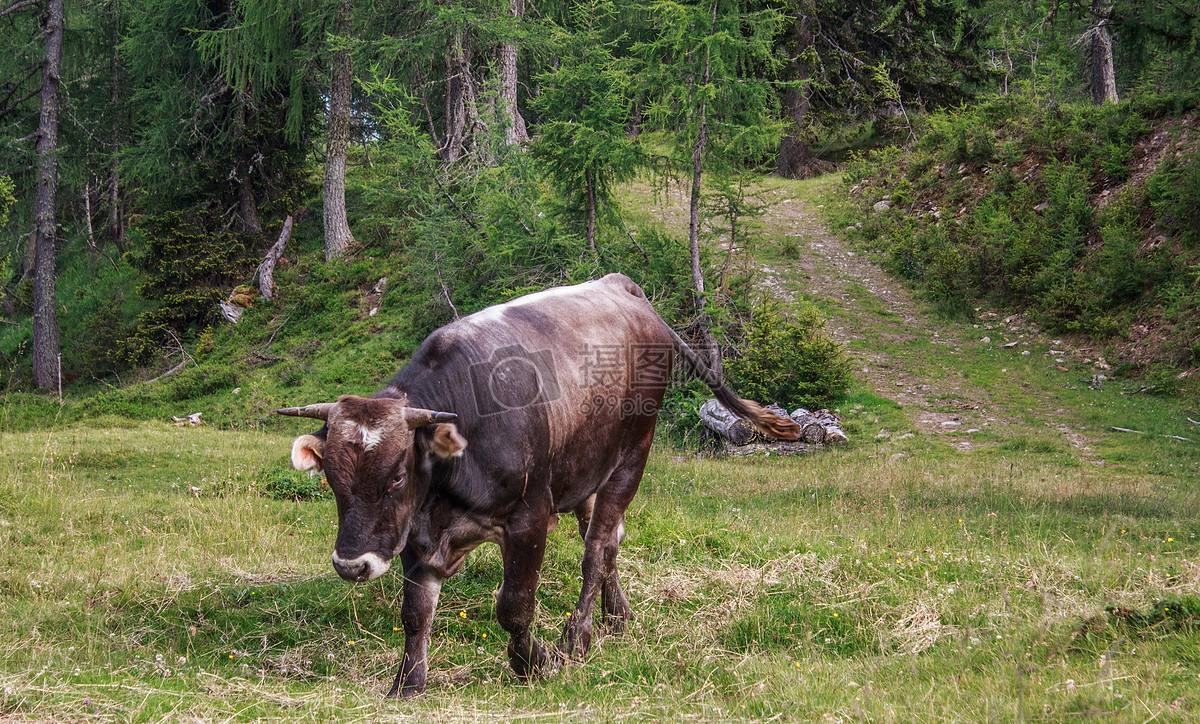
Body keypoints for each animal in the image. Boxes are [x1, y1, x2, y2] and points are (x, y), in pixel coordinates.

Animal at [274, 271, 792, 696]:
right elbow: (415, 612)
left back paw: (578, 636)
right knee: (607, 539)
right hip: (586, 470)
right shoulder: (416, 534)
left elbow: (514, 605)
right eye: (331, 477)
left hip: (631, 457)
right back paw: (617, 616)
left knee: (597, 547)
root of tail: (622, 287)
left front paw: (533, 663)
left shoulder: (529, 519)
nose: (351, 565)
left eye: (398, 475)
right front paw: (408, 683)